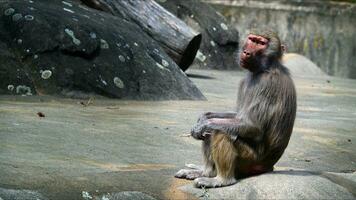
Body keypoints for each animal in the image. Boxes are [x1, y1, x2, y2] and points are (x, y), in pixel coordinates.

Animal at [174, 29, 296, 188]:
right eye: (252, 40)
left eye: (261, 43)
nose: (246, 52)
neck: (265, 69)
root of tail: (268, 167)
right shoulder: (245, 81)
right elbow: (238, 116)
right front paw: (204, 118)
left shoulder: (266, 85)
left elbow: (253, 126)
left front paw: (204, 124)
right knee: (213, 132)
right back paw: (206, 172)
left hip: (250, 160)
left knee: (220, 132)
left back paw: (221, 180)